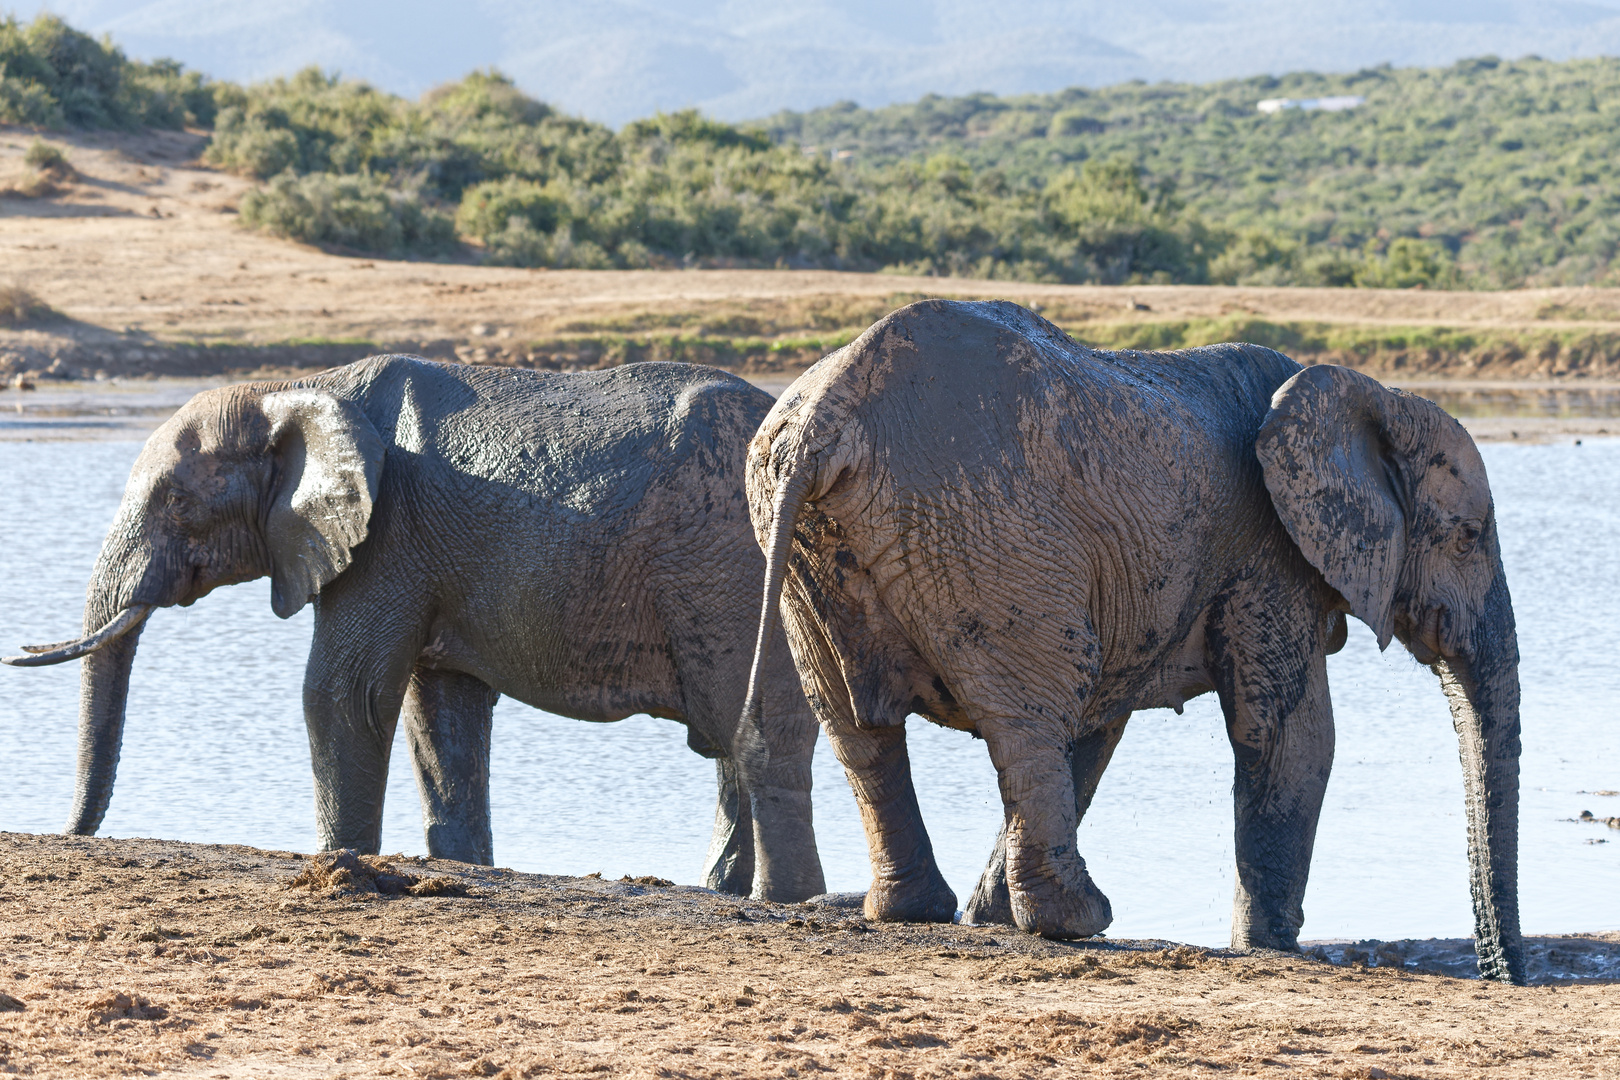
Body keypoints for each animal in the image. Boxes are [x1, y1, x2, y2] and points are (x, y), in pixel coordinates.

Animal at [6, 354, 822, 906]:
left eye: (177, 502)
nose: (71, 836)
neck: (290, 391)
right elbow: (439, 710)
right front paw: (460, 867)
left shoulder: (388, 534)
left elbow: (345, 692)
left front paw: (342, 863)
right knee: (728, 742)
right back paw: (725, 890)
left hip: (730, 563)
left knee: (748, 724)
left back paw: (770, 898)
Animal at [741, 299, 1522, 984]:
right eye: (1467, 536)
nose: (1502, 974)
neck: (1366, 399)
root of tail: (822, 422)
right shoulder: (1269, 555)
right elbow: (1291, 734)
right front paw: (1269, 946)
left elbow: (1100, 730)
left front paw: (987, 917)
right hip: (987, 533)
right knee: (1030, 716)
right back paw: (1078, 922)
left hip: (814, 544)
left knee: (860, 727)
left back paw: (921, 912)